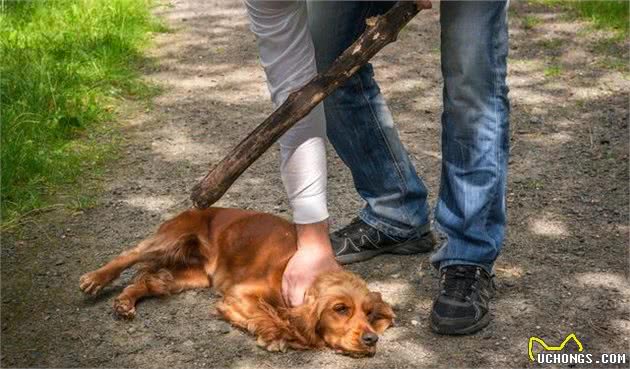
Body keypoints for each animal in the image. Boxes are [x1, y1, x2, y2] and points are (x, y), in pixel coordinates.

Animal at [79, 207, 396, 354]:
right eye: (340, 309)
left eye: (369, 313)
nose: (372, 339)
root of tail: (198, 207)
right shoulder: (240, 294)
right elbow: (268, 314)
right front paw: (278, 335)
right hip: (171, 238)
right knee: (129, 255)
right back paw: (94, 279)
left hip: (192, 276)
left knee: (150, 280)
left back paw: (124, 302)